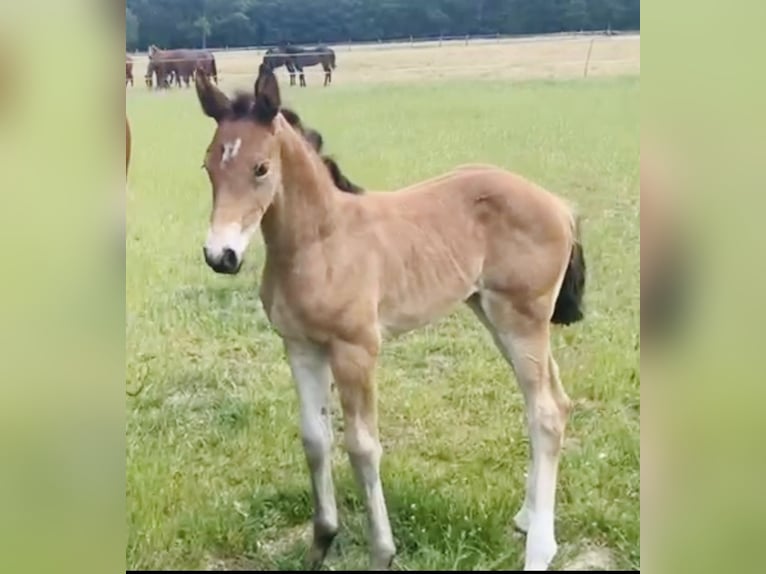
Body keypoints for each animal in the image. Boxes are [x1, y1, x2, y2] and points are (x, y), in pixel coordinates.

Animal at [193, 64, 586, 571]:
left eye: (261, 167)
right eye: (209, 165)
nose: (220, 256)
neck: (320, 243)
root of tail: (560, 205)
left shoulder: (356, 350)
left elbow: (362, 447)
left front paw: (382, 551)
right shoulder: (300, 346)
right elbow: (314, 438)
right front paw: (322, 541)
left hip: (522, 319)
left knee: (546, 412)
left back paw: (539, 548)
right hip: (494, 315)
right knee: (552, 401)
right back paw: (528, 518)